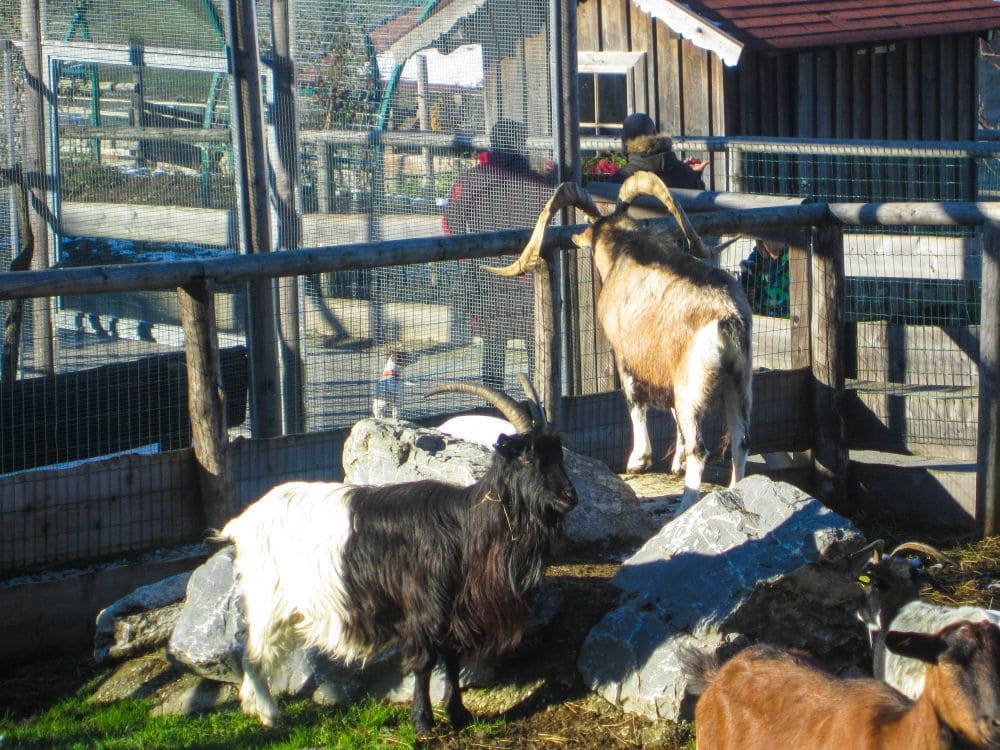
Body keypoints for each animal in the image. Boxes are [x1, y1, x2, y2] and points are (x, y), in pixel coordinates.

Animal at [219, 381, 577, 732]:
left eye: (557, 454)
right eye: (527, 459)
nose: (569, 497)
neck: (464, 526)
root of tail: (242, 522)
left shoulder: (453, 610)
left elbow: (451, 659)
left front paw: (458, 714)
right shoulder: (423, 607)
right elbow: (424, 662)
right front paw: (423, 722)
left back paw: (252, 705)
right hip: (269, 598)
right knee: (253, 652)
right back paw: (269, 714)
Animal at [488, 172, 752, 510]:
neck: (628, 253)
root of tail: (727, 318)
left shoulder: (625, 354)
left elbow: (634, 399)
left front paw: (638, 461)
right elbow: (670, 412)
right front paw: (674, 464)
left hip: (693, 387)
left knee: (700, 448)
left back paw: (685, 504)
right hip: (739, 382)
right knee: (741, 440)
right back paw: (736, 490)